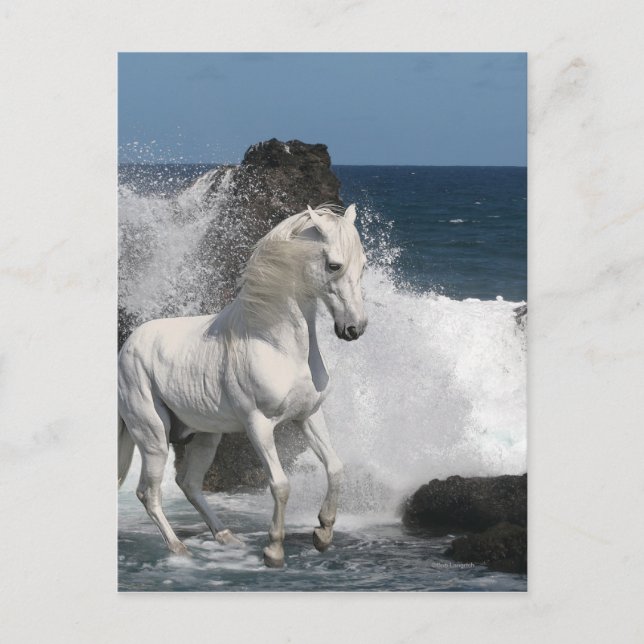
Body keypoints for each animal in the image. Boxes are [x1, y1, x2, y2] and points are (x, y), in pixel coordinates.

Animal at [118, 203, 368, 568]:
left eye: (364, 264)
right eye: (334, 264)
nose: (354, 329)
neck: (276, 343)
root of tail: (127, 345)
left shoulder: (308, 416)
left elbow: (335, 468)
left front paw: (322, 534)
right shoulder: (258, 425)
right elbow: (280, 484)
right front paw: (273, 550)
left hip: (205, 436)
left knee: (188, 483)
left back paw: (226, 537)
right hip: (153, 437)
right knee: (148, 493)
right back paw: (179, 548)